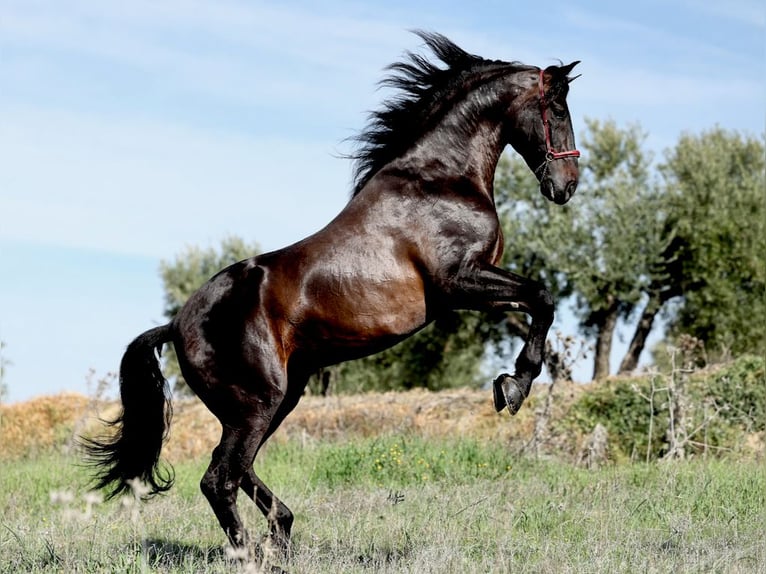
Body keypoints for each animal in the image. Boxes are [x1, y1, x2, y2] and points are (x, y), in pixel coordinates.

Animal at [85, 30, 584, 560]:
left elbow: (535, 302)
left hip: (274, 400)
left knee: (236, 468)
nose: (566, 186)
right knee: (219, 478)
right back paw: (253, 555)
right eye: (557, 110)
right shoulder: (459, 280)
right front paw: (514, 387)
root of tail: (176, 326)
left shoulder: (473, 289)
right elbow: (542, 296)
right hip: (258, 402)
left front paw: (509, 383)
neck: (440, 178)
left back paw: (281, 536)